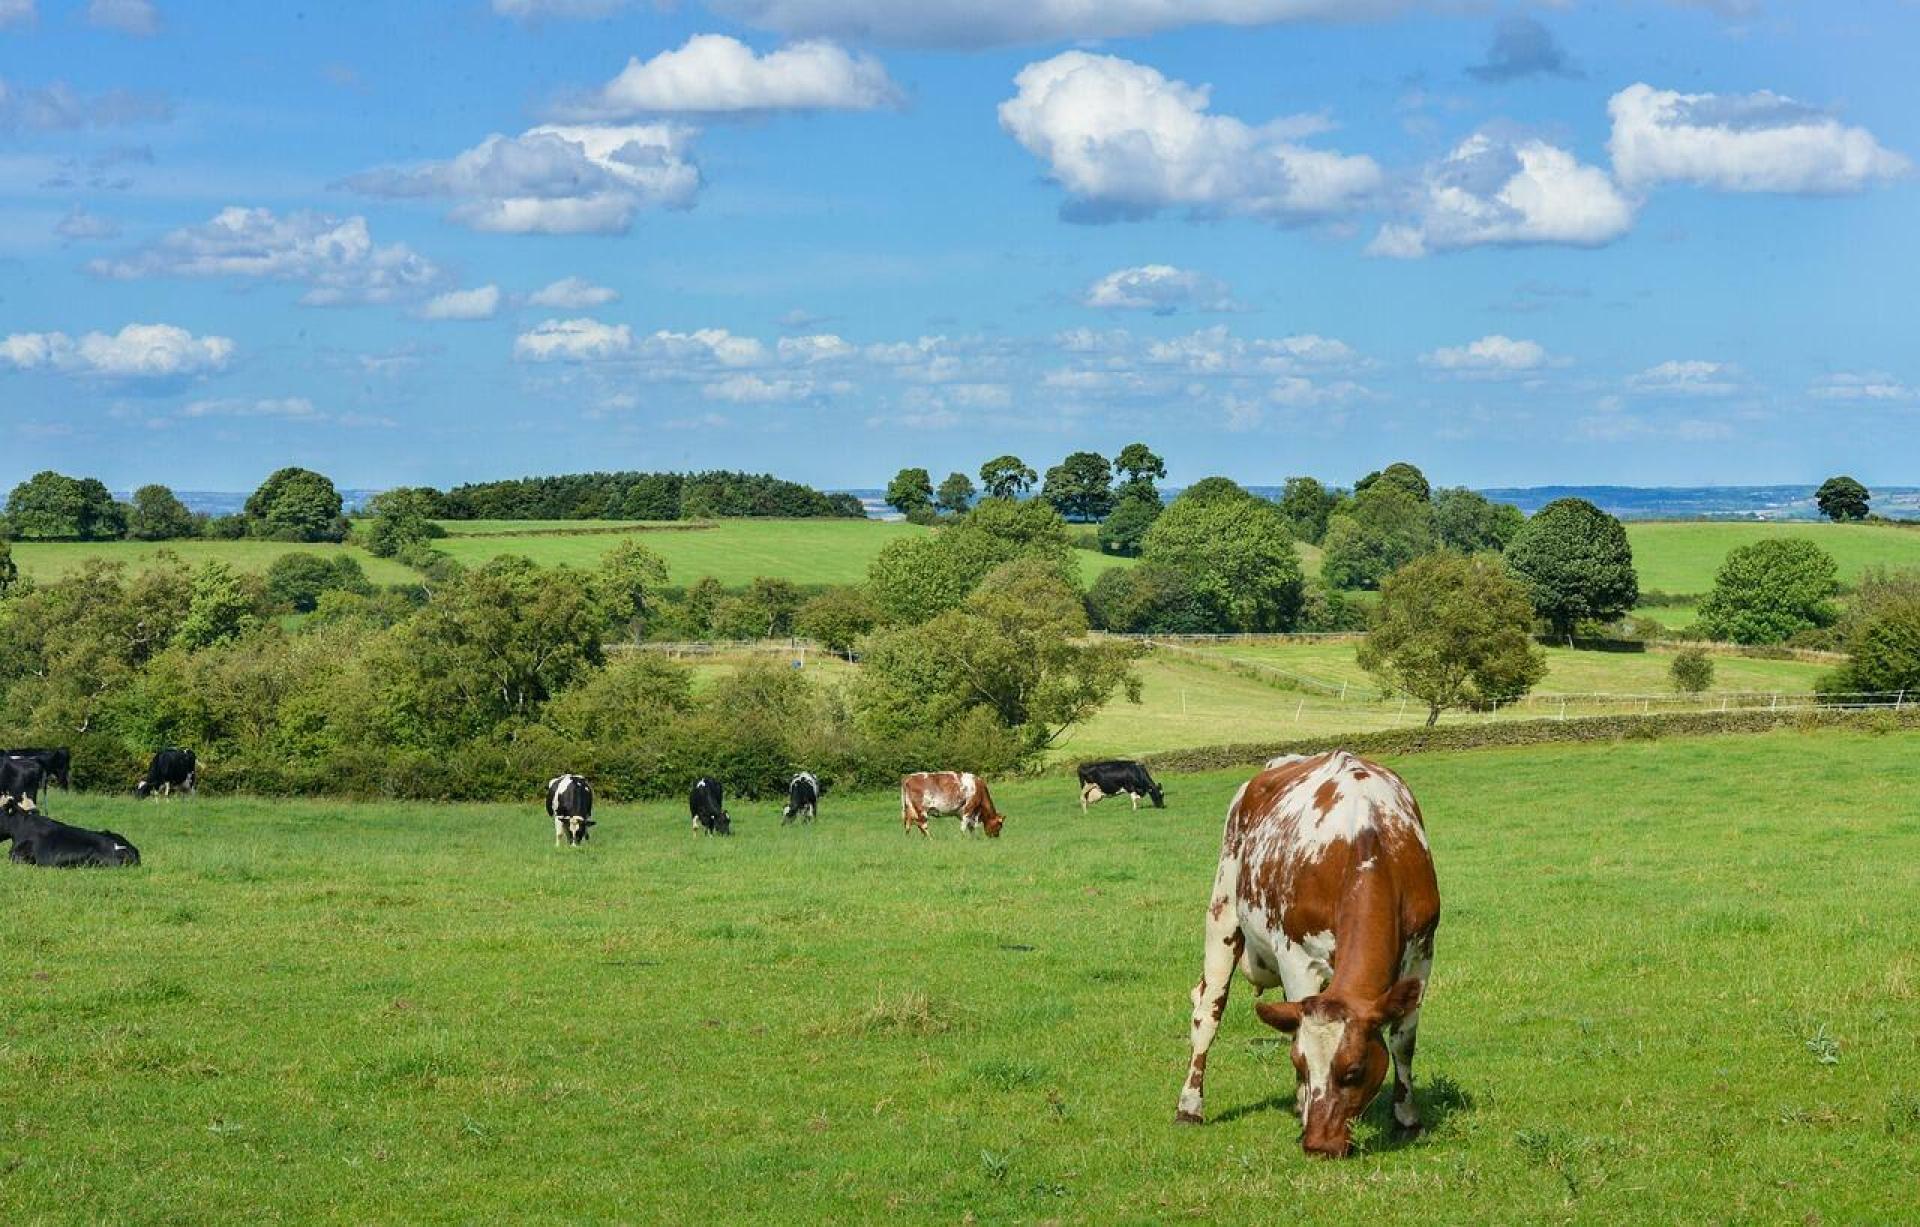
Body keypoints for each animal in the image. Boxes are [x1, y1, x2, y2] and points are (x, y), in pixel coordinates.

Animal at [1175, 750, 1439, 1159]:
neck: (1368, 841)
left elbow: (1403, 1041)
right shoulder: (1296, 958)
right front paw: (1303, 1107)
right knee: (1208, 1010)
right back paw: (1190, 1106)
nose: (1318, 1145)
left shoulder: (1422, 953)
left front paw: (1407, 1119)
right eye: (1300, 1064)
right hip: (1222, 911)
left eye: (1354, 1070)